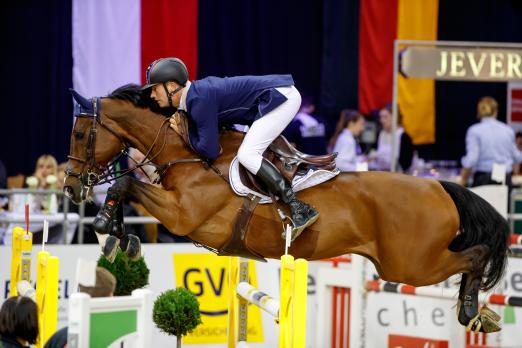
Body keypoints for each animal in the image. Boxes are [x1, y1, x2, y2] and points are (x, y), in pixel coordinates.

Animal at [63, 84, 506, 332]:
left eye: (81, 134)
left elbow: (125, 183)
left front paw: (104, 226)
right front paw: (119, 239)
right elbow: (128, 188)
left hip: (410, 264)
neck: (185, 153)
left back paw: (473, 310)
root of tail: (439, 185)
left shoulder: (182, 215)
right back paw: (478, 314)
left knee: (475, 254)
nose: (70, 187)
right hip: (403, 264)